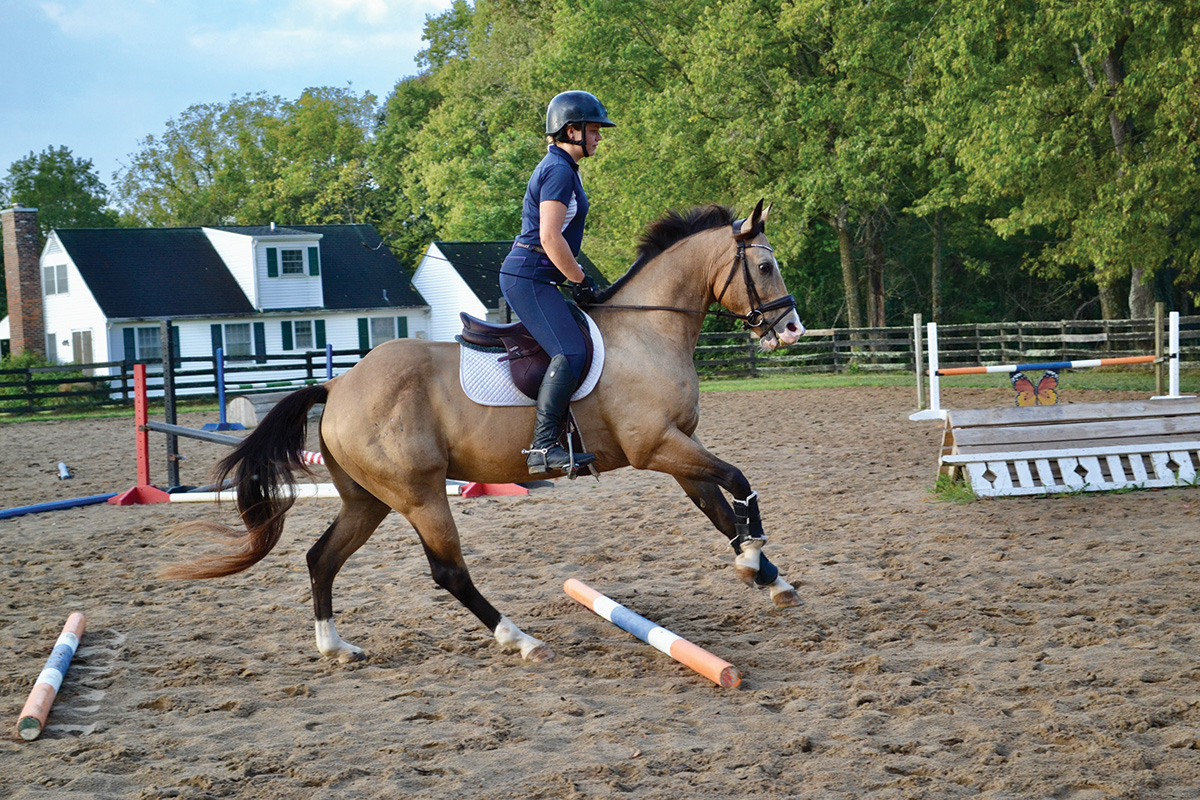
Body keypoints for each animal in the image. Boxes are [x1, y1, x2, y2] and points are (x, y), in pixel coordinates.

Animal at [166, 200, 806, 662]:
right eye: (766, 266)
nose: (792, 330)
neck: (646, 332)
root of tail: (340, 385)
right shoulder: (657, 447)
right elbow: (737, 481)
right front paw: (755, 559)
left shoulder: (676, 447)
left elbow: (718, 509)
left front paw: (767, 576)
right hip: (420, 494)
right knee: (448, 571)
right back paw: (519, 639)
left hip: (368, 499)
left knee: (321, 558)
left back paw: (336, 647)